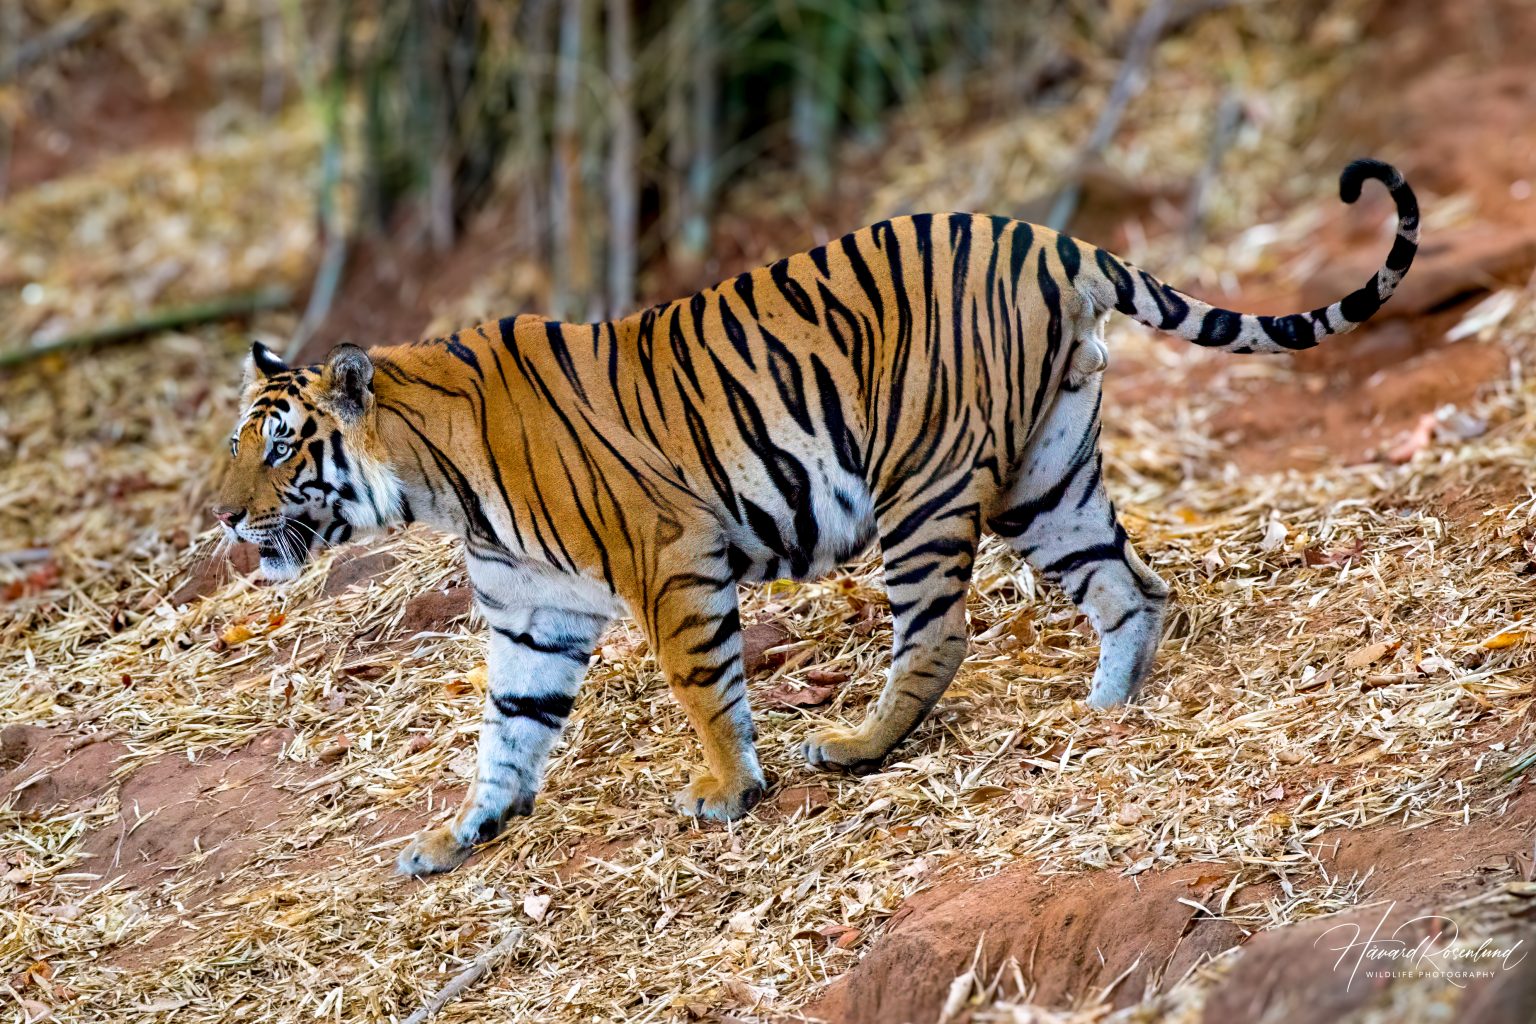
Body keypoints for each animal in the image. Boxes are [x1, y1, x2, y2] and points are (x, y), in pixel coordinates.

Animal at [213, 158, 1417, 876]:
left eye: (278, 449)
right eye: (238, 442)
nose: (223, 521)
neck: (437, 481)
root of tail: (1049, 237)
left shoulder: (670, 559)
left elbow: (703, 685)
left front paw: (727, 790)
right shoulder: (529, 614)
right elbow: (508, 730)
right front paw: (460, 834)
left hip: (924, 481)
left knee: (939, 632)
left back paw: (857, 745)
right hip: (1048, 474)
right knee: (1131, 585)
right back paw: (1109, 705)